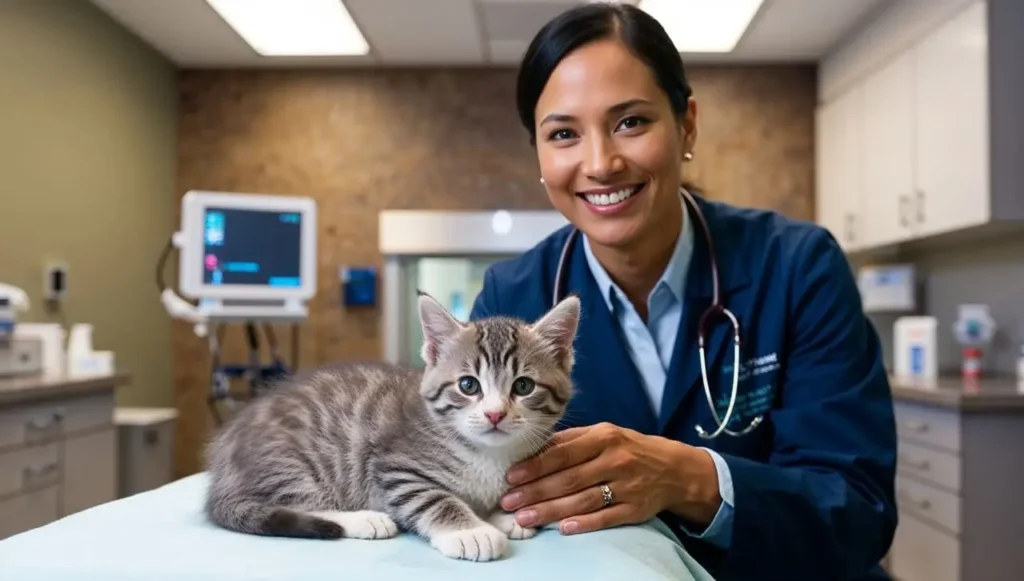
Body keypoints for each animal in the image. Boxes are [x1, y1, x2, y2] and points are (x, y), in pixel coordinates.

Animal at [203, 293, 581, 561]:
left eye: (523, 386)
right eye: (468, 385)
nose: (494, 415)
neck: (489, 454)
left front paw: (505, 514)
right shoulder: (394, 467)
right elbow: (434, 499)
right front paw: (470, 531)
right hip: (289, 461)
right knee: (298, 503)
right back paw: (363, 520)